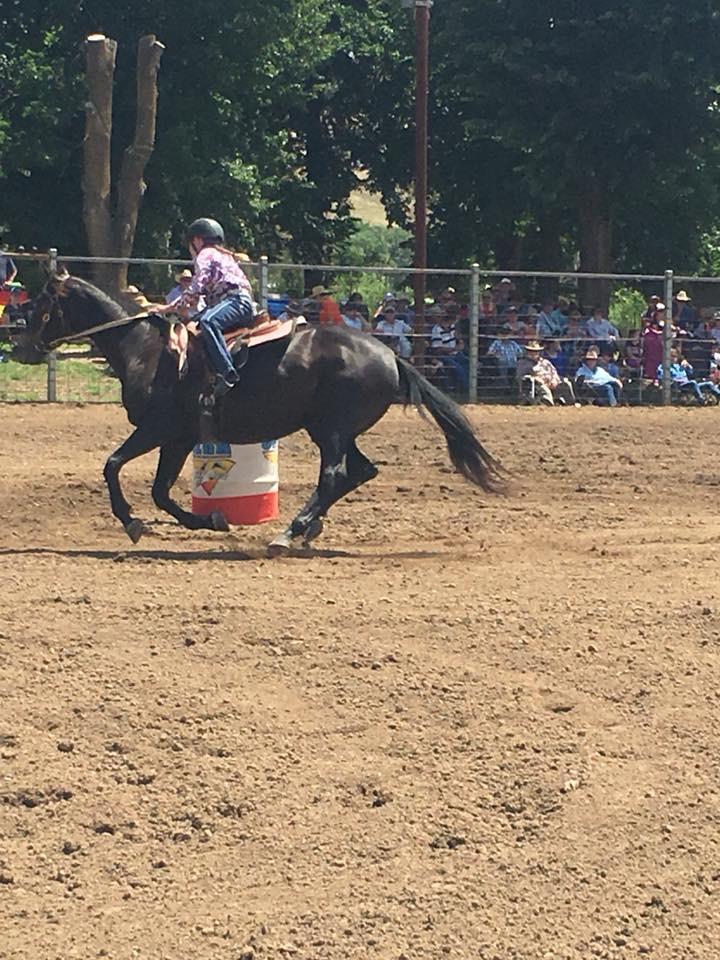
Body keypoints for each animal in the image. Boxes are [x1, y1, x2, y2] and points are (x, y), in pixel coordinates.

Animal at [15, 273, 505, 553]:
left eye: (41, 307)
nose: (21, 350)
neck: (145, 350)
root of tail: (390, 355)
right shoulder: (180, 438)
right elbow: (159, 491)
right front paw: (210, 520)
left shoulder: (158, 429)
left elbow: (113, 465)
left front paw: (133, 522)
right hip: (338, 430)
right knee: (359, 471)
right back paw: (308, 528)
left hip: (331, 429)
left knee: (335, 474)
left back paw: (289, 532)